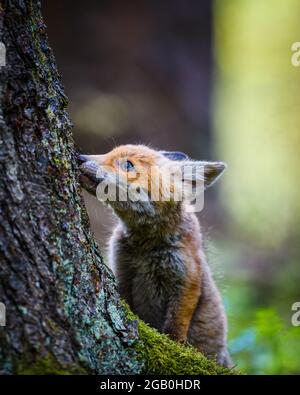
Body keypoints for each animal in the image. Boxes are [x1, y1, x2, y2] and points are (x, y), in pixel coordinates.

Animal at [78, 145, 231, 368]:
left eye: (128, 165)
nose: (78, 157)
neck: (146, 247)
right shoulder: (123, 273)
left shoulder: (187, 282)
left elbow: (175, 329)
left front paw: (177, 352)